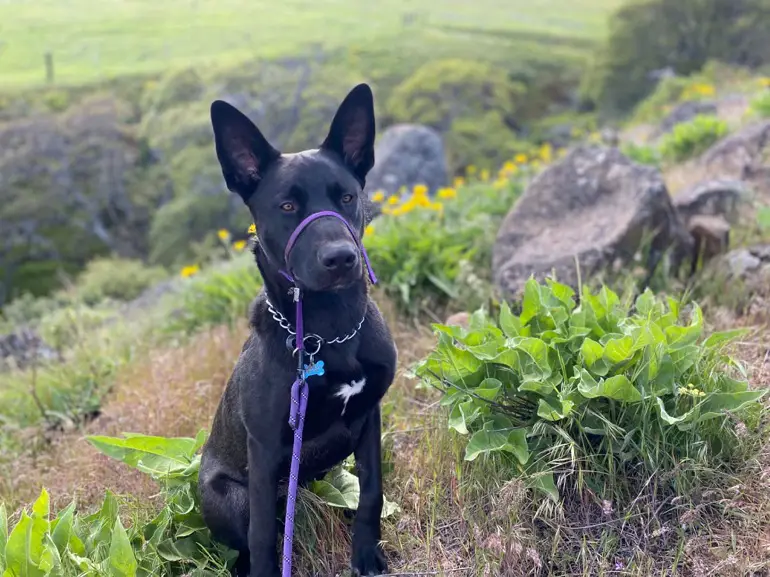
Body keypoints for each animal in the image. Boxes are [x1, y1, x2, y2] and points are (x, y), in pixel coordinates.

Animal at [198, 82, 396, 576]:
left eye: (347, 197)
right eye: (287, 206)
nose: (341, 258)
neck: (329, 331)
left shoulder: (369, 416)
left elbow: (371, 493)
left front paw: (366, 555)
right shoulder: (266, 451)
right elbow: (263, 537)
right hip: (228, 495)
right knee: (247, 538)